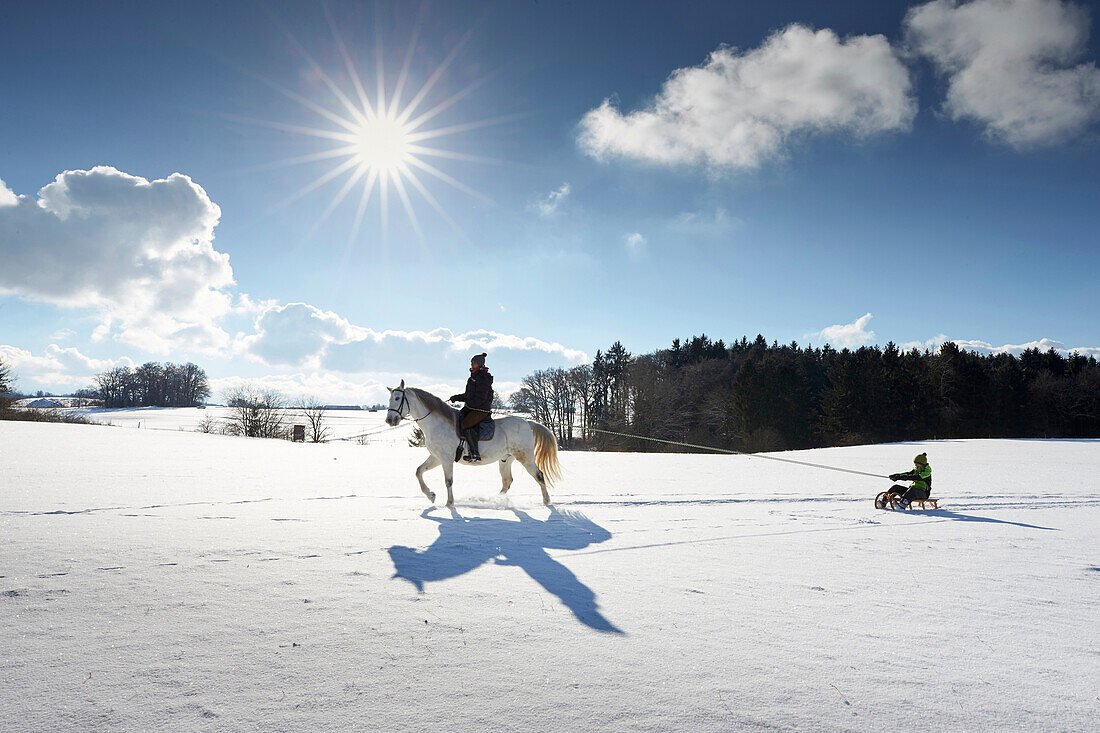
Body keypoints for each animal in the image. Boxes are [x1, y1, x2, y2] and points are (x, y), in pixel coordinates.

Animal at [385, 378, 558, 506]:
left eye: (397, 398)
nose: (389, 420)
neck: (436, 424)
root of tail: (527, 422)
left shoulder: (446, 459)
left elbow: (448, 481)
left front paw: (449, 503)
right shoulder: (436, 458)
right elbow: (418, 471)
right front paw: (431, 495)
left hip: (526, 458)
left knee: (539, 475)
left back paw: (547, 501)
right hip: (505, 460)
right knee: (507, 482)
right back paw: (495, 499)